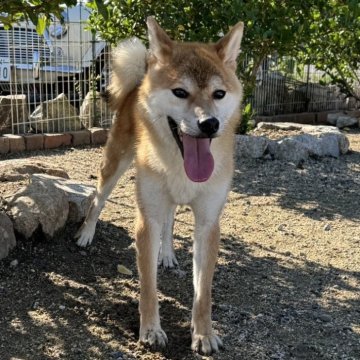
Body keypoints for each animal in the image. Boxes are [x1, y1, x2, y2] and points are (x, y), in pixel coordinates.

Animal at [76, 16, 245, 354]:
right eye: (180, 92)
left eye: (219, 94)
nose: (209, 124)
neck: (180, 165)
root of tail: (139, 82)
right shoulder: (147, 218)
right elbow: (148, 287)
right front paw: (151, 330)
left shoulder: (208, 223)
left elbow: (203, 292)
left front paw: (203, 333)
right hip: (115, 165)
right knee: (98, 200)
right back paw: (86, 234)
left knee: (171, 219)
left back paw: (167, 253)